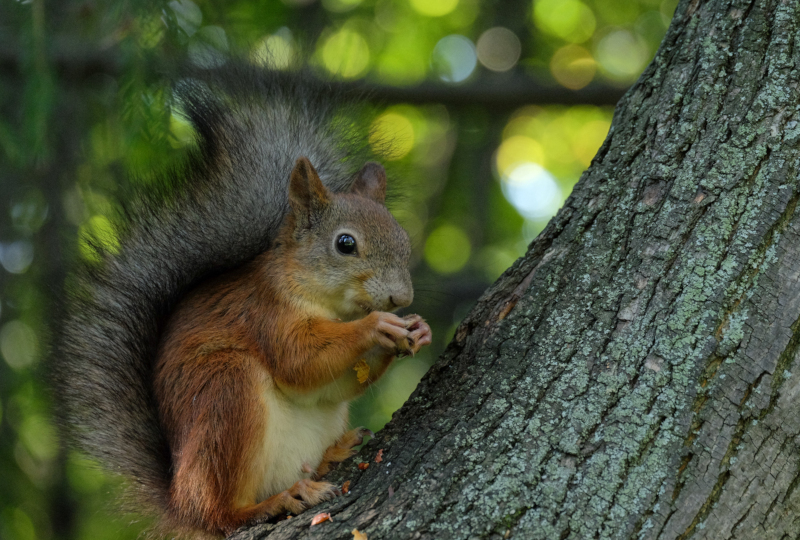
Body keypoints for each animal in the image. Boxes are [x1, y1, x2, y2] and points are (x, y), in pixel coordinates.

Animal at [51, 64, 432, 536]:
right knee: (218, 511)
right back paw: (272, 502)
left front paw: (417, 330)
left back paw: (334, 453)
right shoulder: (265, 313)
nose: (401, 296)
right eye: (345, 244)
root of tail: (178, 501)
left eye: (403, 239)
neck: (329, 304)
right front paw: (376, 326)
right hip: (225, 394)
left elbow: (334, 384)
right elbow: (299, 360)